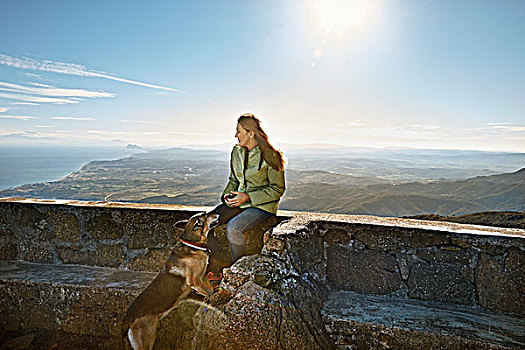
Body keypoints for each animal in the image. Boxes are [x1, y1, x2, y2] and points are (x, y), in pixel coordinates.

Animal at [121, 212, 219, 348]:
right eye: (206, 215)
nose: (216, 213)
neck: (193, 244)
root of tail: (127, 321)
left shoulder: (203, 277)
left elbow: (210, 289)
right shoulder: (195, 281)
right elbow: (209, 292)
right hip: (146, 341)